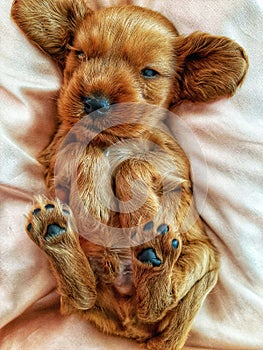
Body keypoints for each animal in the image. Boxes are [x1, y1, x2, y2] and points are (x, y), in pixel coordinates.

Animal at [10, 1, 250, 348]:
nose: (95, 102)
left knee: (159, 303)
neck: (113, 139)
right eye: (80, 54)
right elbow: (82, 145)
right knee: (82, 297)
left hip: (201, 257)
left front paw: (136, 210)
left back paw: (152, 254)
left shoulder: (175, 170)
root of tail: (130, 326)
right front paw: (92, 200)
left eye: (149, 72)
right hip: (97, 295)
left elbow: (131, 164)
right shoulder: (54, 156)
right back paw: (55, 234)